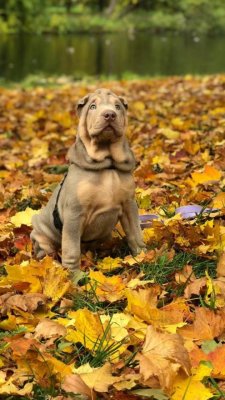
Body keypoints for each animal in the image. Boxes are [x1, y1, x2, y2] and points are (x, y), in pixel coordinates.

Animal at [30, 86, 145, 278]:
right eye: (92, 107)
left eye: (118, 107)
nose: (109, 115)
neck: (107, 165)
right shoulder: (74, 213)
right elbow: (71, 250)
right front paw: (74, 277)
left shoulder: (129, 205)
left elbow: (135, 233)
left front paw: (145, 256)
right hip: (41, 231)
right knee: (46, 250)